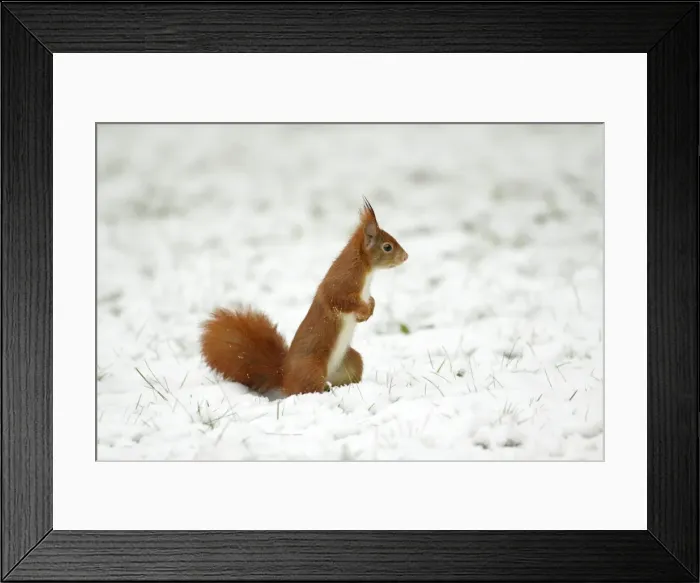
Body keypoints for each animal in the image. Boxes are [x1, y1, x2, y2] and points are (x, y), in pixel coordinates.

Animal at [199, 197, 408, 396]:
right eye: (387, 247)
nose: (406, 257)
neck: (364, 270)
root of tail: (284, 376)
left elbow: (370, 302)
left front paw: (369, 309)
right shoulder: (339, 286)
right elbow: (341, 301)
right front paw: (364, 309)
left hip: (351, 361)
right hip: (312, 368)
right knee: (305, 388)